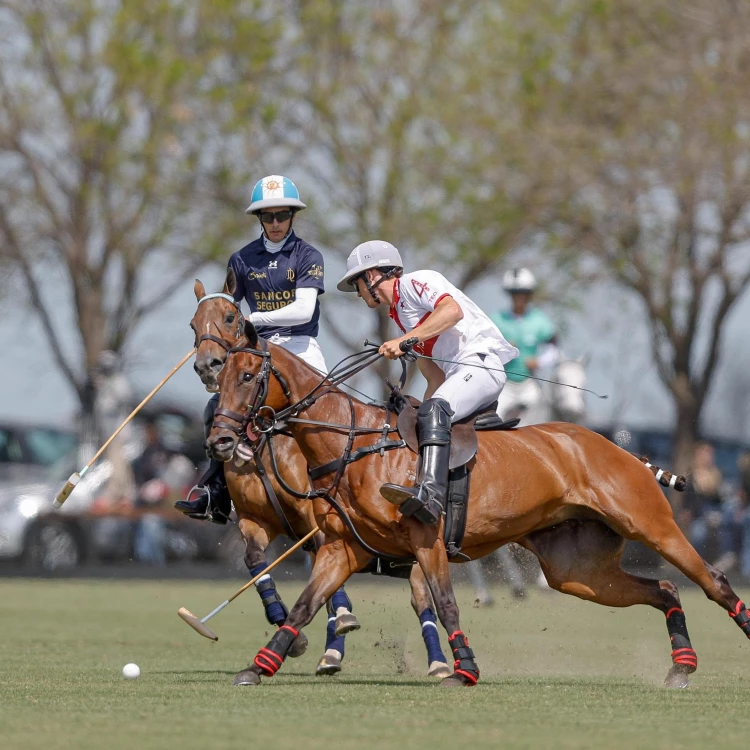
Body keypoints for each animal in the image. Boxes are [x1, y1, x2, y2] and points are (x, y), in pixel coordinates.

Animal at [191, 278, 456, 680]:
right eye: (193, 324)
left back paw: (439, 663)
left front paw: (339, 629)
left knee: (422, 598)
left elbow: (329, 584)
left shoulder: (316, 519)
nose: (207, 365)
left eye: (230, 316)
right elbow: (256, 561)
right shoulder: (255, 519)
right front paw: (294, 635)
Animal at [206, 322, 750, 688]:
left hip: (650, 525)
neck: (355, 444)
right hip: (577, 570)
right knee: (663, 587)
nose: (220, 440)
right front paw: (261, 665)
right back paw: (681, 666)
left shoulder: (426, 538)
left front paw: (464, 669)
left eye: (249, 375)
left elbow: (445, 601)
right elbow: (305, 604)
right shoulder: (343, 548)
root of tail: (625, 451)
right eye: (220, 374)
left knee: (712, 580)